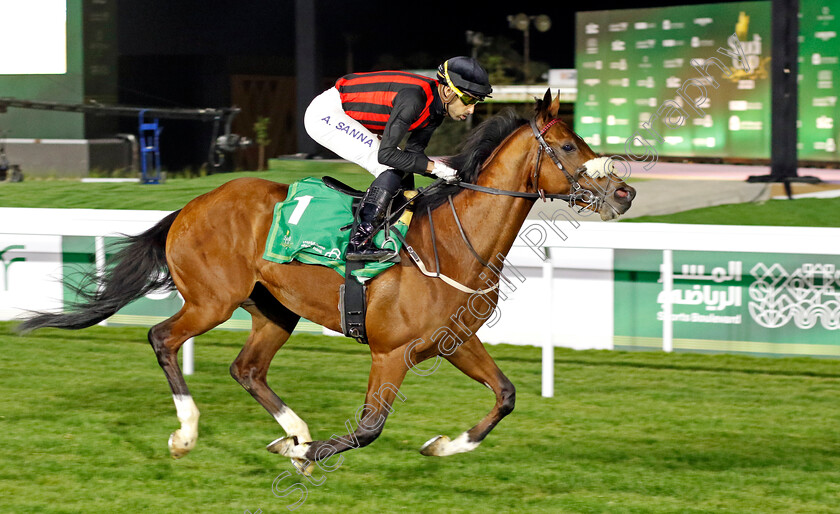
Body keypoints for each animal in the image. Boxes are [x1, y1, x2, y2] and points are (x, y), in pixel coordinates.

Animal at [18, 91, 636, 472]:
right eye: (567, 146)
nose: (625, 192)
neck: (456, 245)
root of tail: (192, 205)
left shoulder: (454, 341)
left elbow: (505, 396)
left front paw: (443, 445)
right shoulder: (391, 352)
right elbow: (369, 427)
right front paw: (307, 459)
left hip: (275, 309)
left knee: (246, 368)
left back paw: (294, 431)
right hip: (212, 300)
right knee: (162, 339)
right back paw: (190, 433)